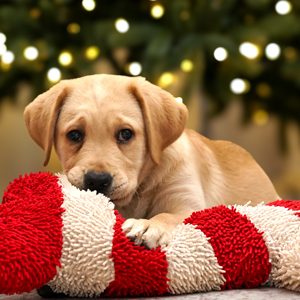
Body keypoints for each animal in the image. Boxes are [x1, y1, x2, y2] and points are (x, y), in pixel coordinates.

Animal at [24, 75, 280, 251]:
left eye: (126, 134)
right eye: (75, 135)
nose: (97, 180)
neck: (141, 188)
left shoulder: (189, 204)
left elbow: (169, 216)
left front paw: (148, 225)